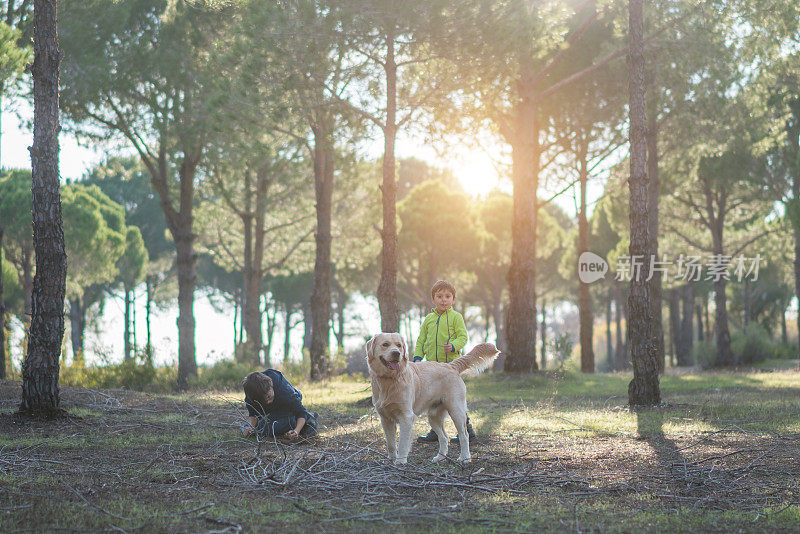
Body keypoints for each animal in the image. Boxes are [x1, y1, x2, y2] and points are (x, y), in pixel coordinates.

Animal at [364, 336, 500, 464]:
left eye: (399, 345)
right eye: (385, 344)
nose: (397, 353)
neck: (390, 380)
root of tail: (450, 365)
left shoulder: (406, 417)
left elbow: (402, 442)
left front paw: (400, 461)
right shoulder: (385, 419)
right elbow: (390, 443)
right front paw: (391, 460)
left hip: (456, 410)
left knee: (464, 435)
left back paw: (465, 458)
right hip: (433, 416)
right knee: (444, 437)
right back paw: (440, 457)